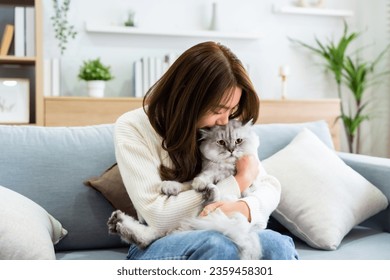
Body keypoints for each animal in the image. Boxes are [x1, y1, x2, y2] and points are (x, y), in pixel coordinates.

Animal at [108, 119, 264, 260]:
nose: (231, 150)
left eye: (238, 141)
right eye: (221, 142)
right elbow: (188, 183)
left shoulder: (244, 189)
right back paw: (117, 222)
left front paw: (202, 184)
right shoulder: (205, 174)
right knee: (146, 238)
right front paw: (172, 186)